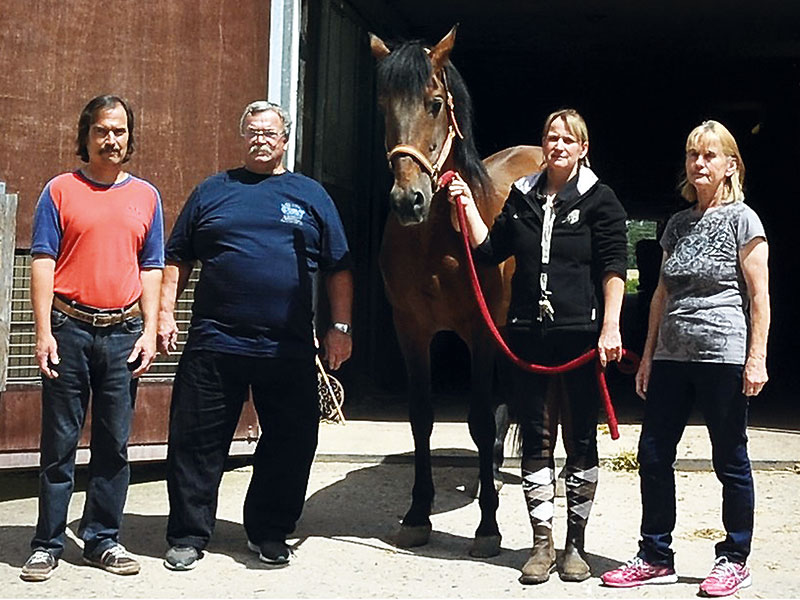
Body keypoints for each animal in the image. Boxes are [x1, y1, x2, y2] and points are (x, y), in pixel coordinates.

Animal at [368, 25, 544, 556]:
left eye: (434, 103)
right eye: (384, 105)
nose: (409, 200)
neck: (436, 237)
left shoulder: (480, 332)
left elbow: (480, 421)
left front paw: (487, 527)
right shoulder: (411, 331)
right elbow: (421, 418)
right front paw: (416, 515)